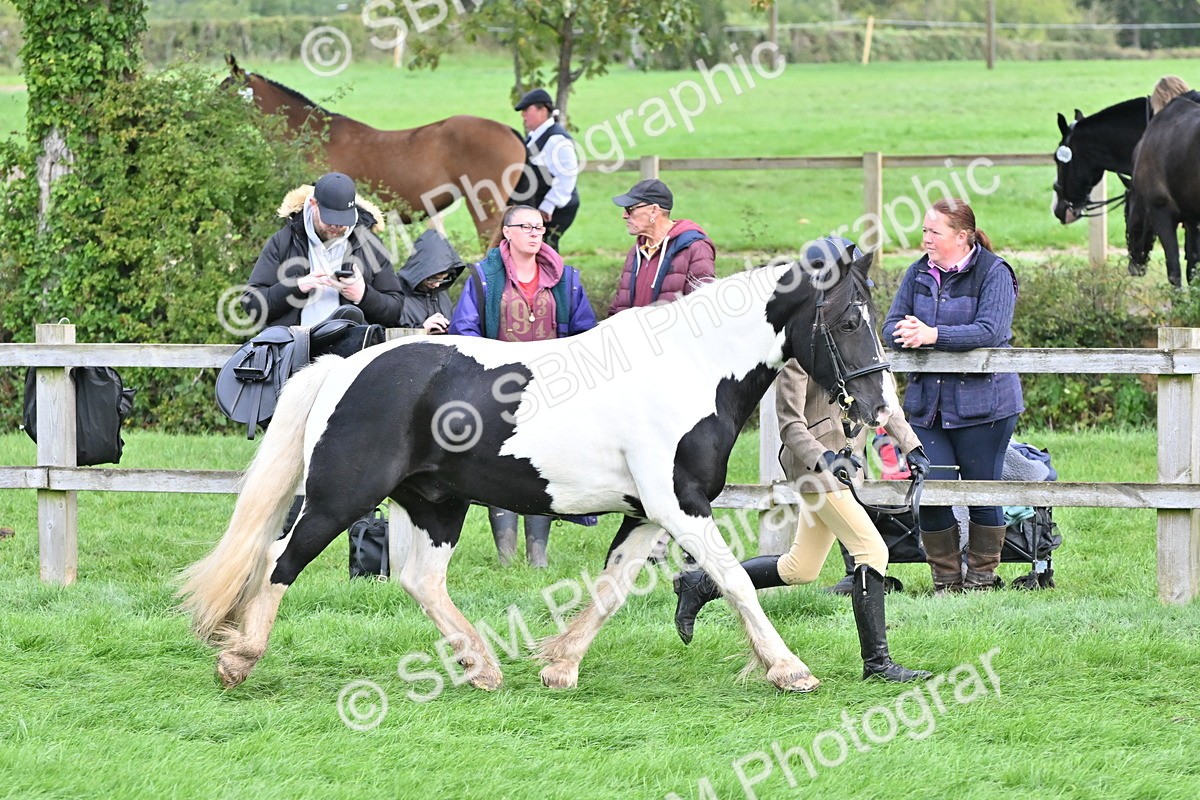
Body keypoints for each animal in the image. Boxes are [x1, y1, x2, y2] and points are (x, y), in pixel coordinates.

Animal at [178, 248, 897, 695]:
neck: (690, 370)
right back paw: (239, 658)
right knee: (281, 557)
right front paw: (789, 669)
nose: (875, 406)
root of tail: (344, 368)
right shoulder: (680, 505)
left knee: (420, 580)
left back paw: (482, 668)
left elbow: (613, 588)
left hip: (435, 504)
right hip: (340, 498)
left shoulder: (647, 514)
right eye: (849, 318)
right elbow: (735, 581)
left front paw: (559, 666)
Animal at [1126, 95, 1200, 287]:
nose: (1133, 268)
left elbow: (1174, 270)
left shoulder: (1161, 211)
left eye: (1132, 226)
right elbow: (1193, 268)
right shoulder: (1192, 219)